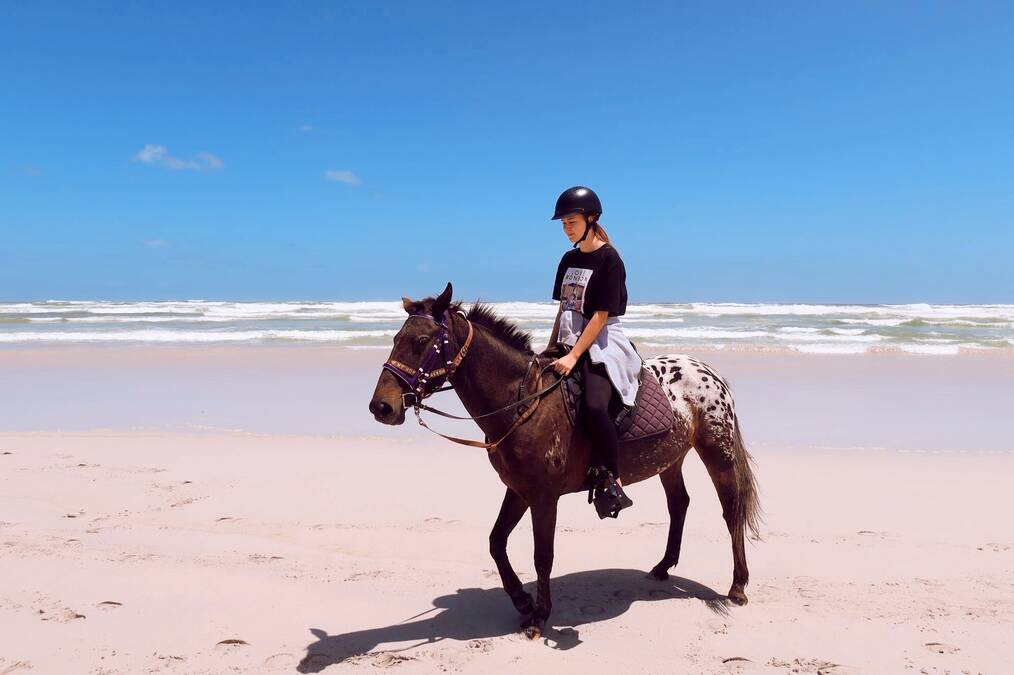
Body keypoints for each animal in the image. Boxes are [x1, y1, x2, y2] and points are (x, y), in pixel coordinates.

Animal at [368, 283, 761, 640]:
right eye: (395, 337)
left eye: (421, 341)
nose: (381, 406)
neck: (523, 402)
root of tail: (709, 372)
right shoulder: (519, 490)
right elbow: (496, 542)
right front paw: (522, 601)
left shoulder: (544, 497)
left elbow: (543, 555)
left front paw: (539, 617)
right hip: (670, 459)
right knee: (679, 504)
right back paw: (663, 567)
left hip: (717, 452)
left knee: (731, 511)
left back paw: (738, 586)